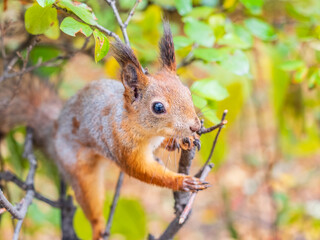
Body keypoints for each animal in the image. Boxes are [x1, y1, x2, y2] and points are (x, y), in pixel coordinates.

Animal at [0, 23, 210, 240]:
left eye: (188, 92)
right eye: (158, 107)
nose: (195, 126)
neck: (147, 132)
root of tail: (55, 128)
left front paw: (182, 140)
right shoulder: (121, 145)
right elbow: (144, 171)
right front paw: (183, 181)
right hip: (79, 169)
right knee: (90, 202)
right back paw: (98, 227)